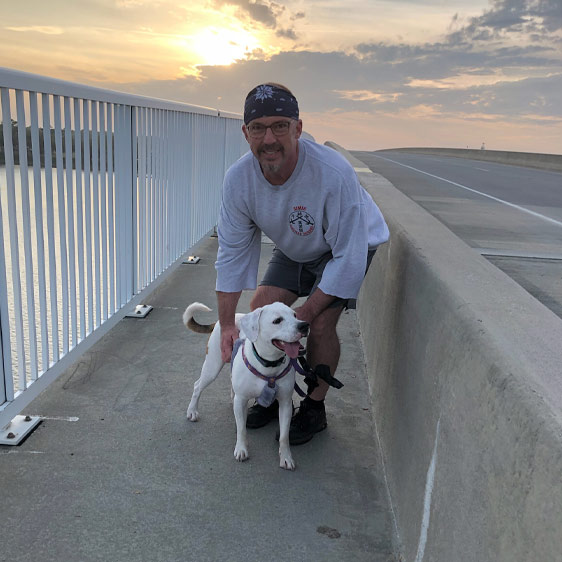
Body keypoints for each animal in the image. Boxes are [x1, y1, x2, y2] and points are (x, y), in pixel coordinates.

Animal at [183, 302, 306, 468]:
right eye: (277, 320)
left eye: (295, 315)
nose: (304, 325)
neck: (268, 364)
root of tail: (219, 322)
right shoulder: (242, 400)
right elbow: (241, 429)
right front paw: (241, 449)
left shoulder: (285, 404)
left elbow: (284, 436)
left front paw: (286, 457)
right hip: (212, 367)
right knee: (197, 386)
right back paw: (192, 411)